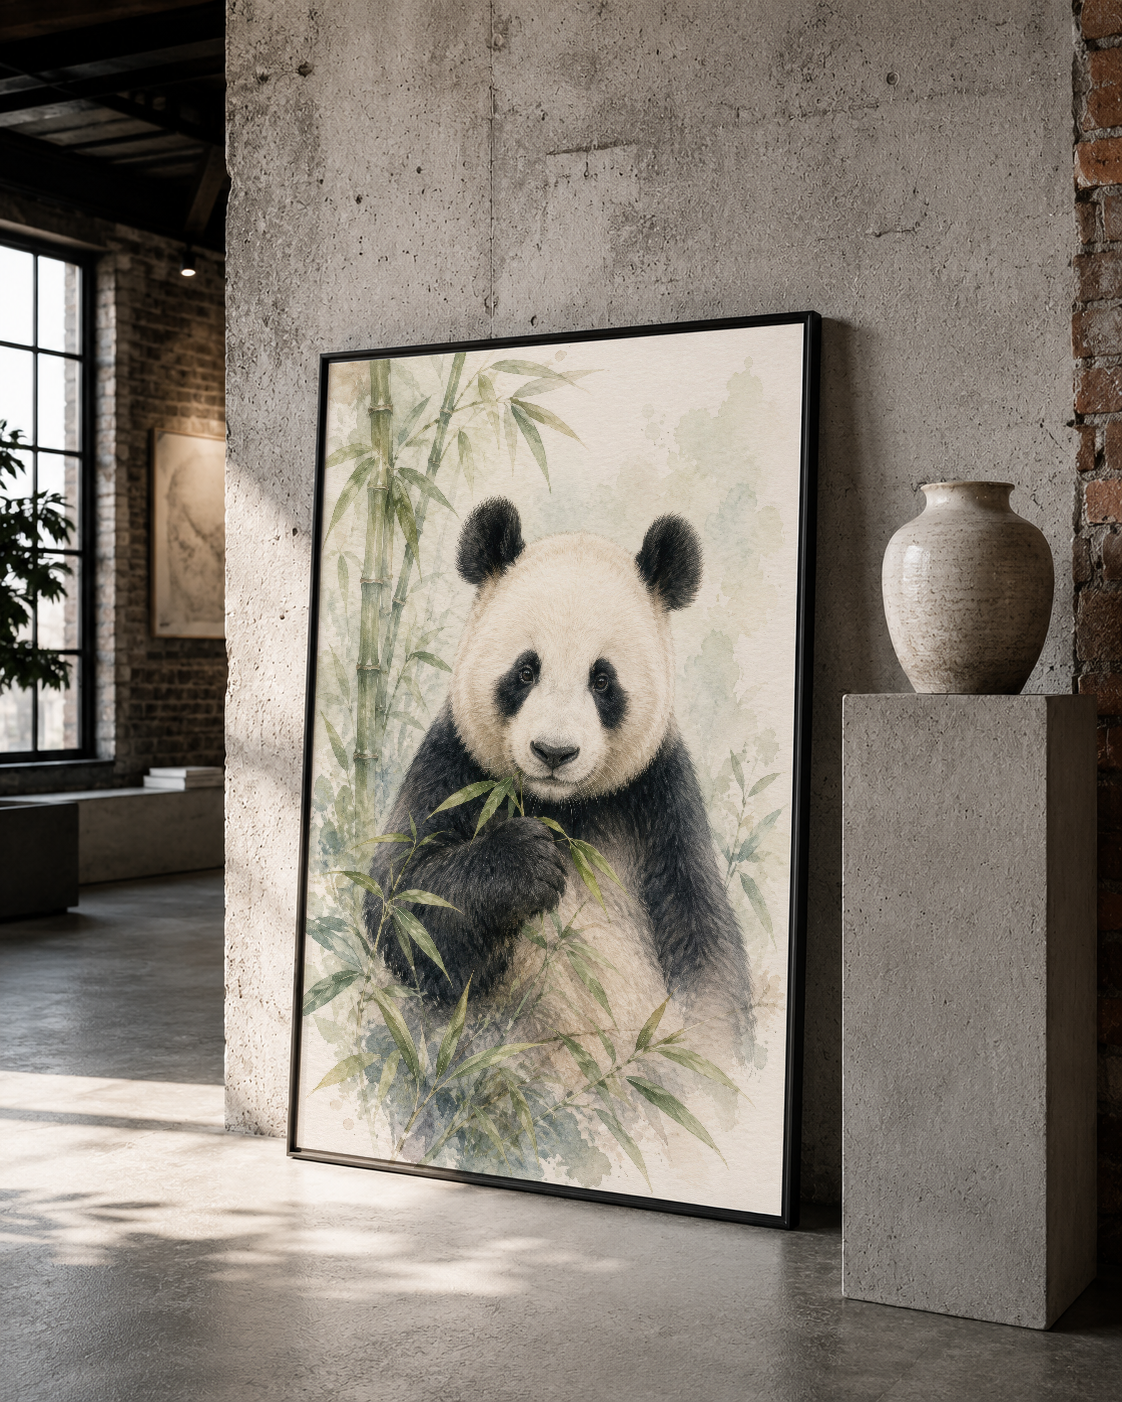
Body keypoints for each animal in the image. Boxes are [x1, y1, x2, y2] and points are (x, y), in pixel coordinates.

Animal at [366, 496, 751, 1060]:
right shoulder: (454, 765)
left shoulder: (660, 798)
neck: (559, 805)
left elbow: (705, 945)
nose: (554, 751)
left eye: (602, 679)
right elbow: (404, 907)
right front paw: (526, 861)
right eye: (526, 671)